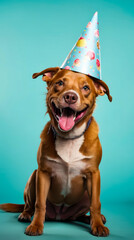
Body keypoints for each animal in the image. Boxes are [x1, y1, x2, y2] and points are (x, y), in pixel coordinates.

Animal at [0, 67, 112, 236]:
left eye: (86, 88)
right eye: (59, 83)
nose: (70, 96)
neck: (69, 137)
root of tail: (61, 217)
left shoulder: (94, 174)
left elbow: (96, 204)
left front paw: (98, 225)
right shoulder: (43, 173)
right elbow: (40, 204)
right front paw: (36, 225)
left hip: (86, 194)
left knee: (79, 214)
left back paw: (89, 218)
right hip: (34, 176)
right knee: (30, 205)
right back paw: (26, 215)